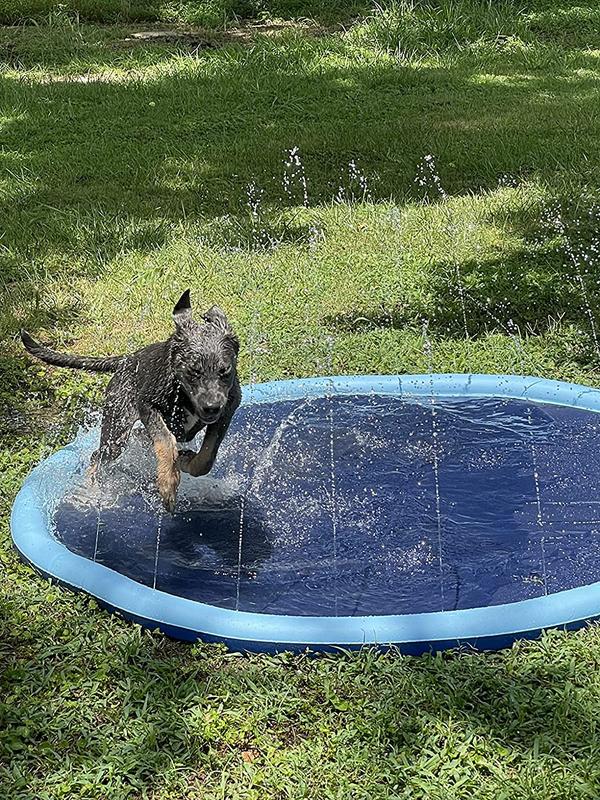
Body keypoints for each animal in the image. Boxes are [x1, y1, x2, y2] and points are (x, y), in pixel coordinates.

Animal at [21, 290, 241, 510]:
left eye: (225, 371)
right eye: (193, 371)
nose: (212, 407)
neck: (184, 394)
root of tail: (126, 360)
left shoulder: (228, 408)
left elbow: (207, 457)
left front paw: (186, 462)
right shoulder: (147, 405)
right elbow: (165, 440)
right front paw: (168, 483)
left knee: (139, 437)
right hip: (116, 430)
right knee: (98, 455)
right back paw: (91, 489)